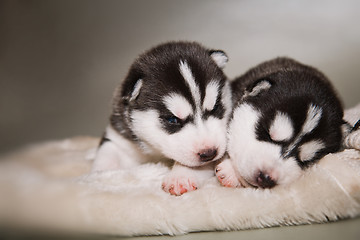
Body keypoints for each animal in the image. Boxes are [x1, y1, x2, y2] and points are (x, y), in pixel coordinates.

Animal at [90, 41, 232, 195]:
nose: (209, 153)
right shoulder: (118, 138)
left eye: (215, 107)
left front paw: (180, 176)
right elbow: (107, 155)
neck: (156, 152)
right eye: (172, 119)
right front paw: (102, 174)